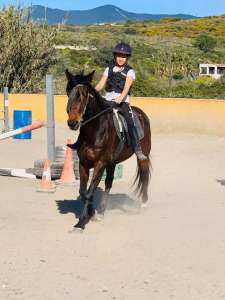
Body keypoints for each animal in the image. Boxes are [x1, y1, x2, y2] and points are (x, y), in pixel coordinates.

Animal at [66, 69, 152, 230]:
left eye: (83, 95)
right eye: (69, 93)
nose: (72, 123)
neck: (94, 130)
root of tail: (141, 114)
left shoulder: (100, 164)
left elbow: (89, 192)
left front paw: (81, 223)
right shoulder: (84, 163)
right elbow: (83, 192)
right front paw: (92, 214)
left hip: (143, 155)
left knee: (144, 176)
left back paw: (144, 204)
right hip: (112, 162)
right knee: (108, 184)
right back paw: (101, 211)